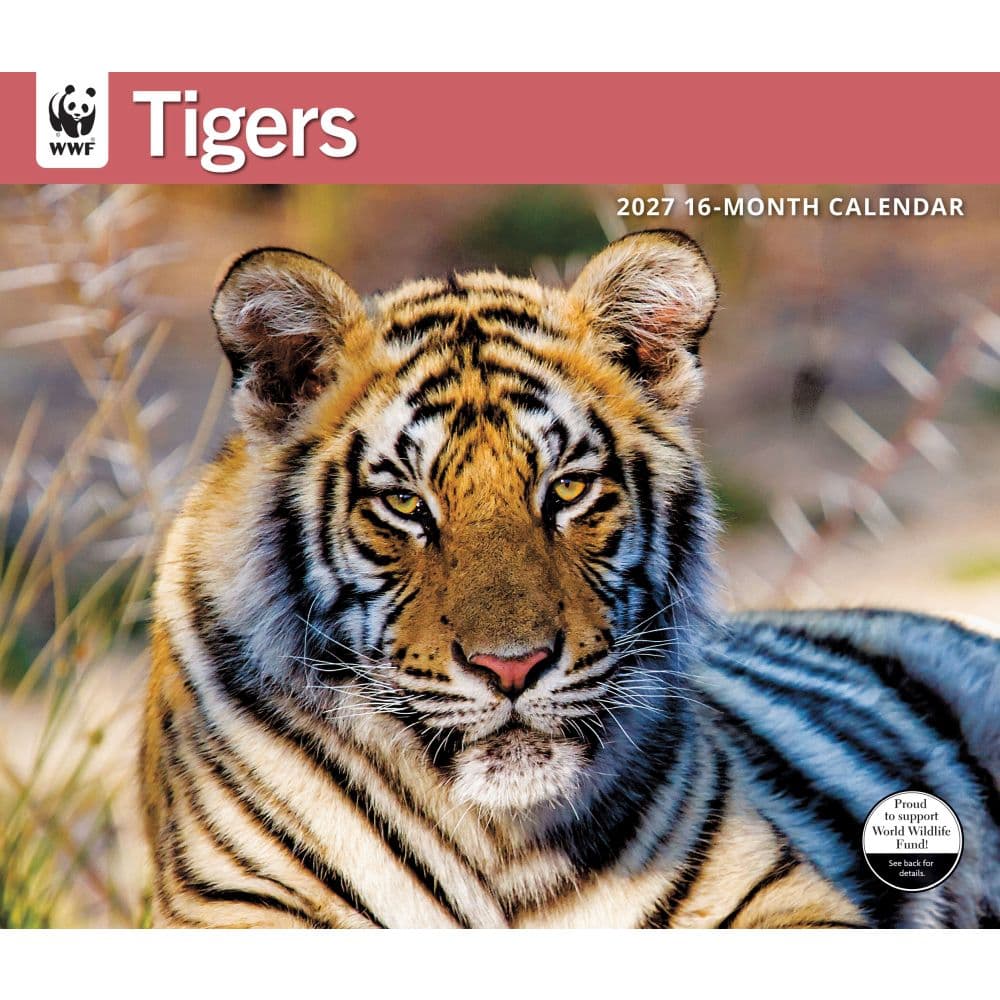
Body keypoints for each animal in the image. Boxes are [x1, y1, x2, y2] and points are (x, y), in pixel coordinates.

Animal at [142, 229, 1000, 929]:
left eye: (566, 490)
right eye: (405, 504)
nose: (511, 667)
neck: (498, 840)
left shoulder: (777, 891)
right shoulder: (240, 904)